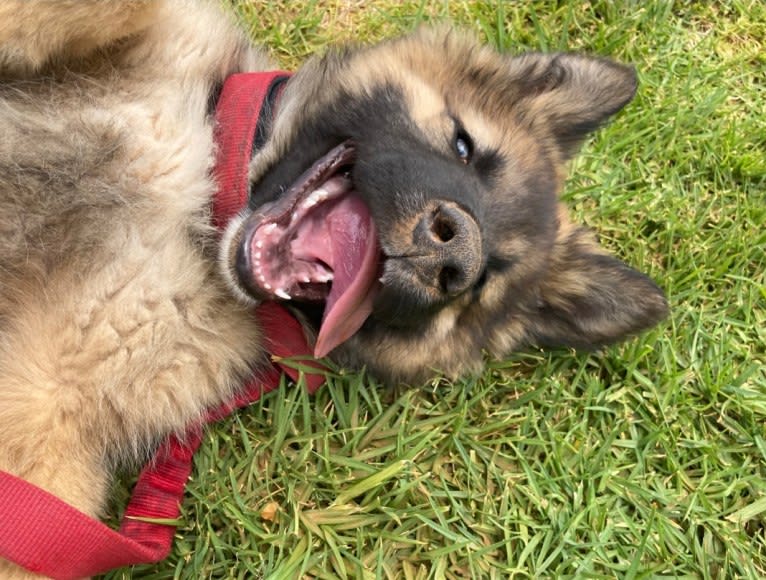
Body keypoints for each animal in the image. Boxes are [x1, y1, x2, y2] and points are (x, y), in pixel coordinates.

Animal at [0, 1, 668, 576]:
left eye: (486, 278)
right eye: (464, 146)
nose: (453, 254)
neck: (200, 207)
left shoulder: (48, 415)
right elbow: (116, 9)